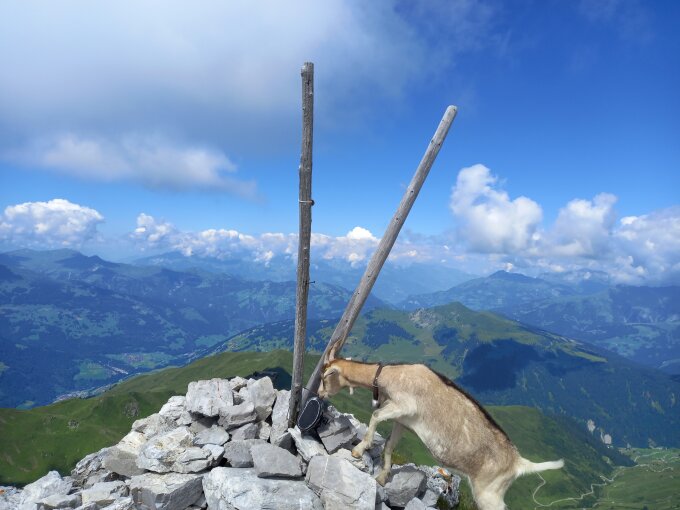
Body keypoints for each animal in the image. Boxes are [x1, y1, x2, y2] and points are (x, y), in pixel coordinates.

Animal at [318, 356, 564, 510]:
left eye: (324, 377)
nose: (319, 393)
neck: (390, 375)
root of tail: (517, 463)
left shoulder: (404, 406)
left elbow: (376, 415)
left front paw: (359, 450)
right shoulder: (402, 420)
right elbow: (389, 444)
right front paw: (382, 476)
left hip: (489, 494)